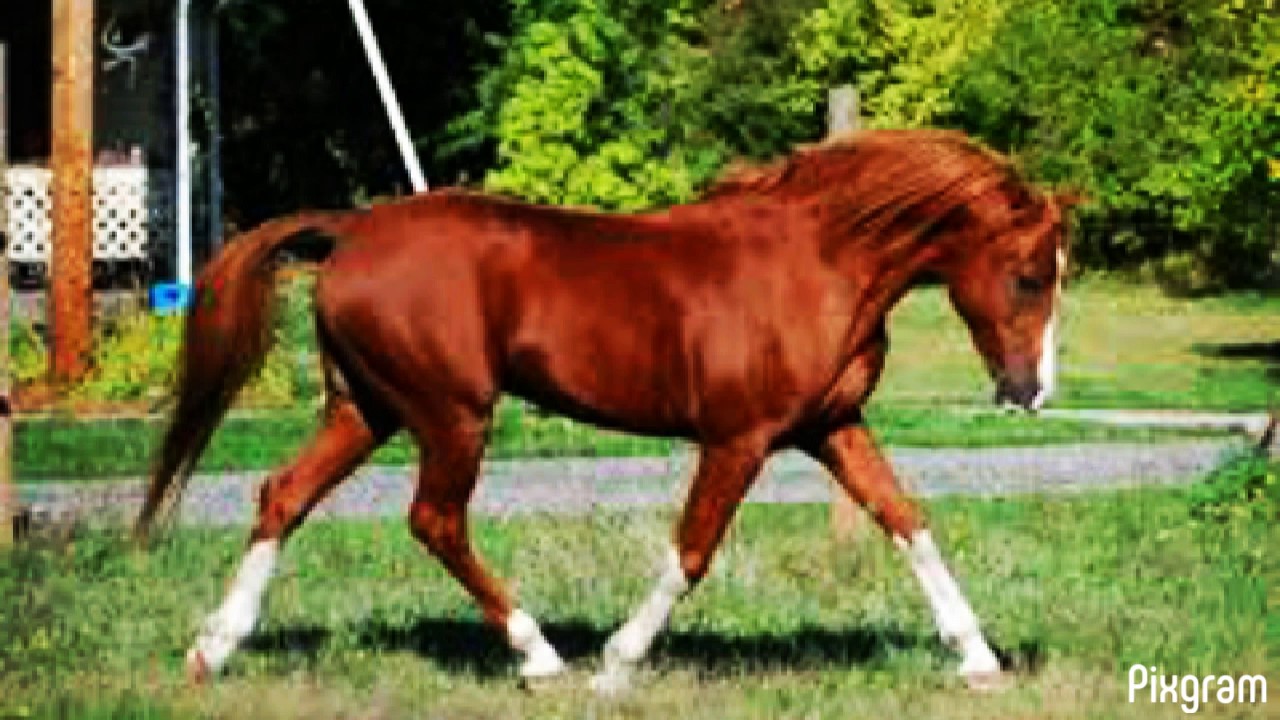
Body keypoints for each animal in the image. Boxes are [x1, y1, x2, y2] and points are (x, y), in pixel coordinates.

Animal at [135, 129, 1075, 692]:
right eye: (1031, 276)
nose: (1031, 392)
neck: (819, 260)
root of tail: (352, 231)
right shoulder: (739, 439)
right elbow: (691, 551)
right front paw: (617, 666)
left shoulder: (830, 429)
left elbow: (908, 522)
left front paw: (977, 657)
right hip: (452, 413)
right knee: (435, 520)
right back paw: (541, 657)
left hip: (366, 409)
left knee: (283, 495)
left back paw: (211, 649)